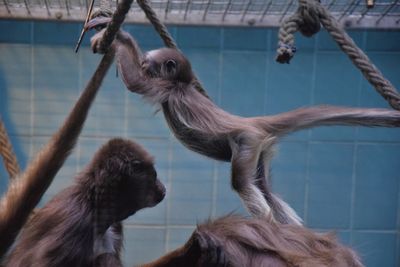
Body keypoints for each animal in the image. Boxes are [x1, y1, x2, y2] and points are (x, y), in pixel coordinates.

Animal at [5, 138, 164, 267]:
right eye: (154, 176)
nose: (162, 188)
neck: (93, 205)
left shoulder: (115, 225)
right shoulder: (76, 224)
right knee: (106, 257)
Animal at [90, 21, 400, 226]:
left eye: (148, 63)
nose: (145, 63)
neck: (182, 84)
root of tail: (253, 121)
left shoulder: (167, 89)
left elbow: (134, 82)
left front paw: (119, 35)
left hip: (246, 142)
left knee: (242, 181)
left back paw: (267, 224)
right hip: (259, 152)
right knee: (264, 187)